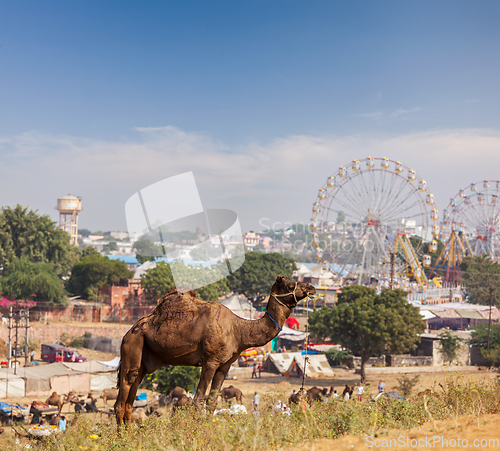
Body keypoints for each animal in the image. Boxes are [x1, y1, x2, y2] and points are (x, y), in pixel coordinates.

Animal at [115, 276, 314, 428]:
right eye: (290, 285)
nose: (311, 288)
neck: (239, 330)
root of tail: (127, 333)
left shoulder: (225, 365)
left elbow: (212, 401)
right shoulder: (210, 361)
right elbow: (198, 400)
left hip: (144, 360)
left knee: (131, 397)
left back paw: (129, 435)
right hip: (133, 346)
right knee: (123, 395)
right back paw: (122, 439)